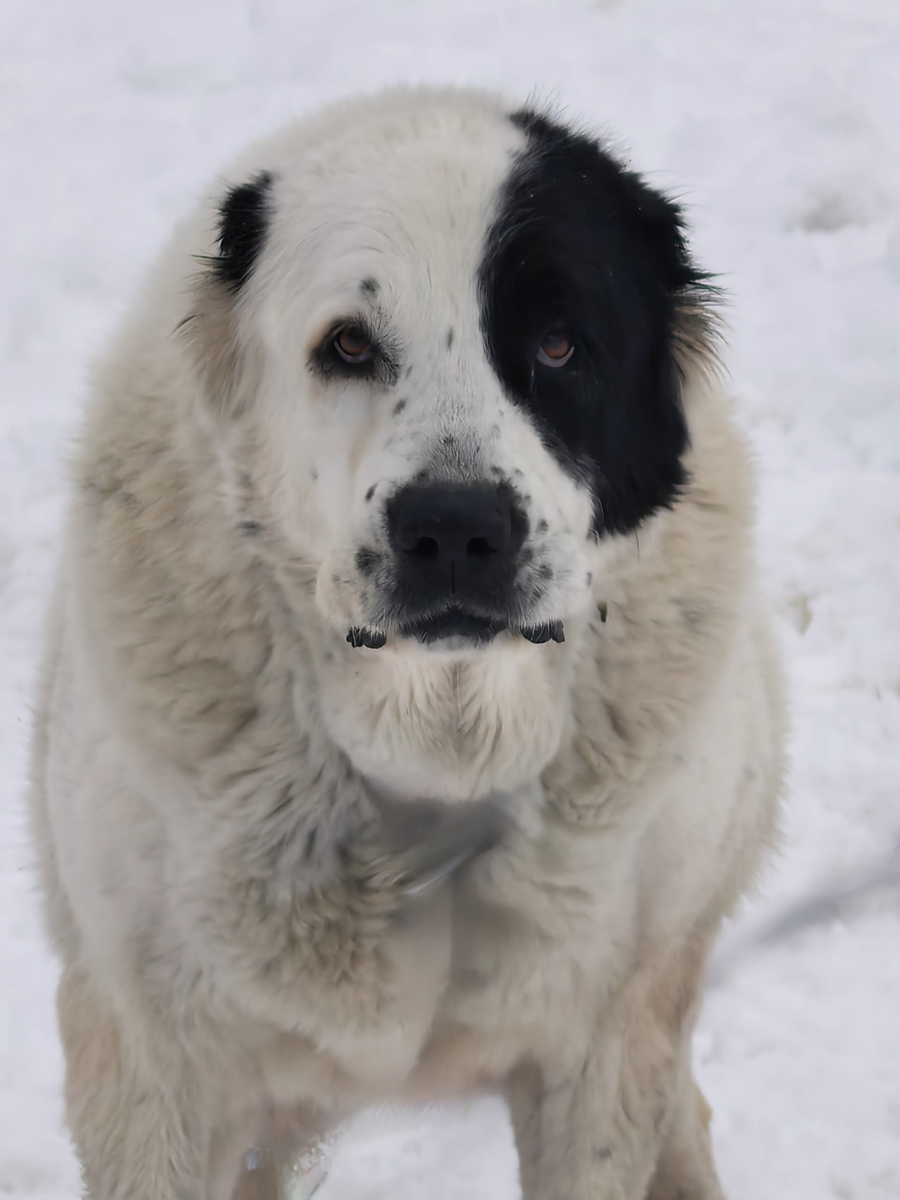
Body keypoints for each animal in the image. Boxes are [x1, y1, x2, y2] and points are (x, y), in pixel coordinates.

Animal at [29, 86, 785, 1200]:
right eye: (348, 345)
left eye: (558, 347)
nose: (457, 529)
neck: (441, 747)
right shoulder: (151, 1062)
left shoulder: (603, 1046)